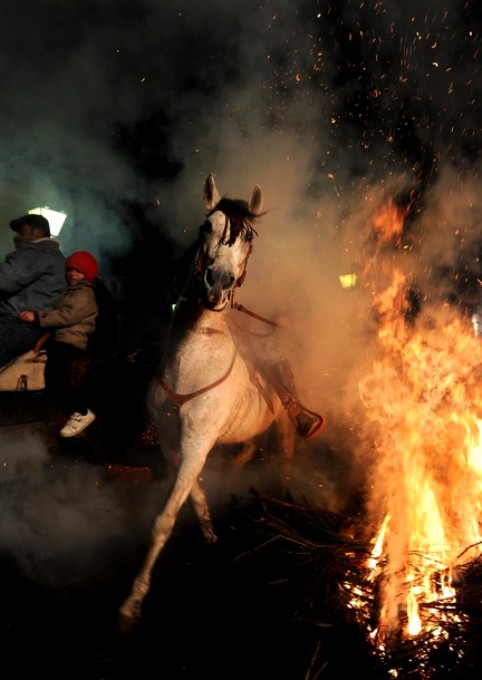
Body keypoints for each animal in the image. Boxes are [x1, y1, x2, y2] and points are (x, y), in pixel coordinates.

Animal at [118, 171, 296, 628]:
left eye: (250, 238)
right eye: (206, 227)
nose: (218, 284)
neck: (192, 359)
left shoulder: (198, 440)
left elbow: (164, 519)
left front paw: (132, 603)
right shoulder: (172, 442)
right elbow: (192, 492)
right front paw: (211, 531)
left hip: (286, 425)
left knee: (286, 454)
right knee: (249, 446)